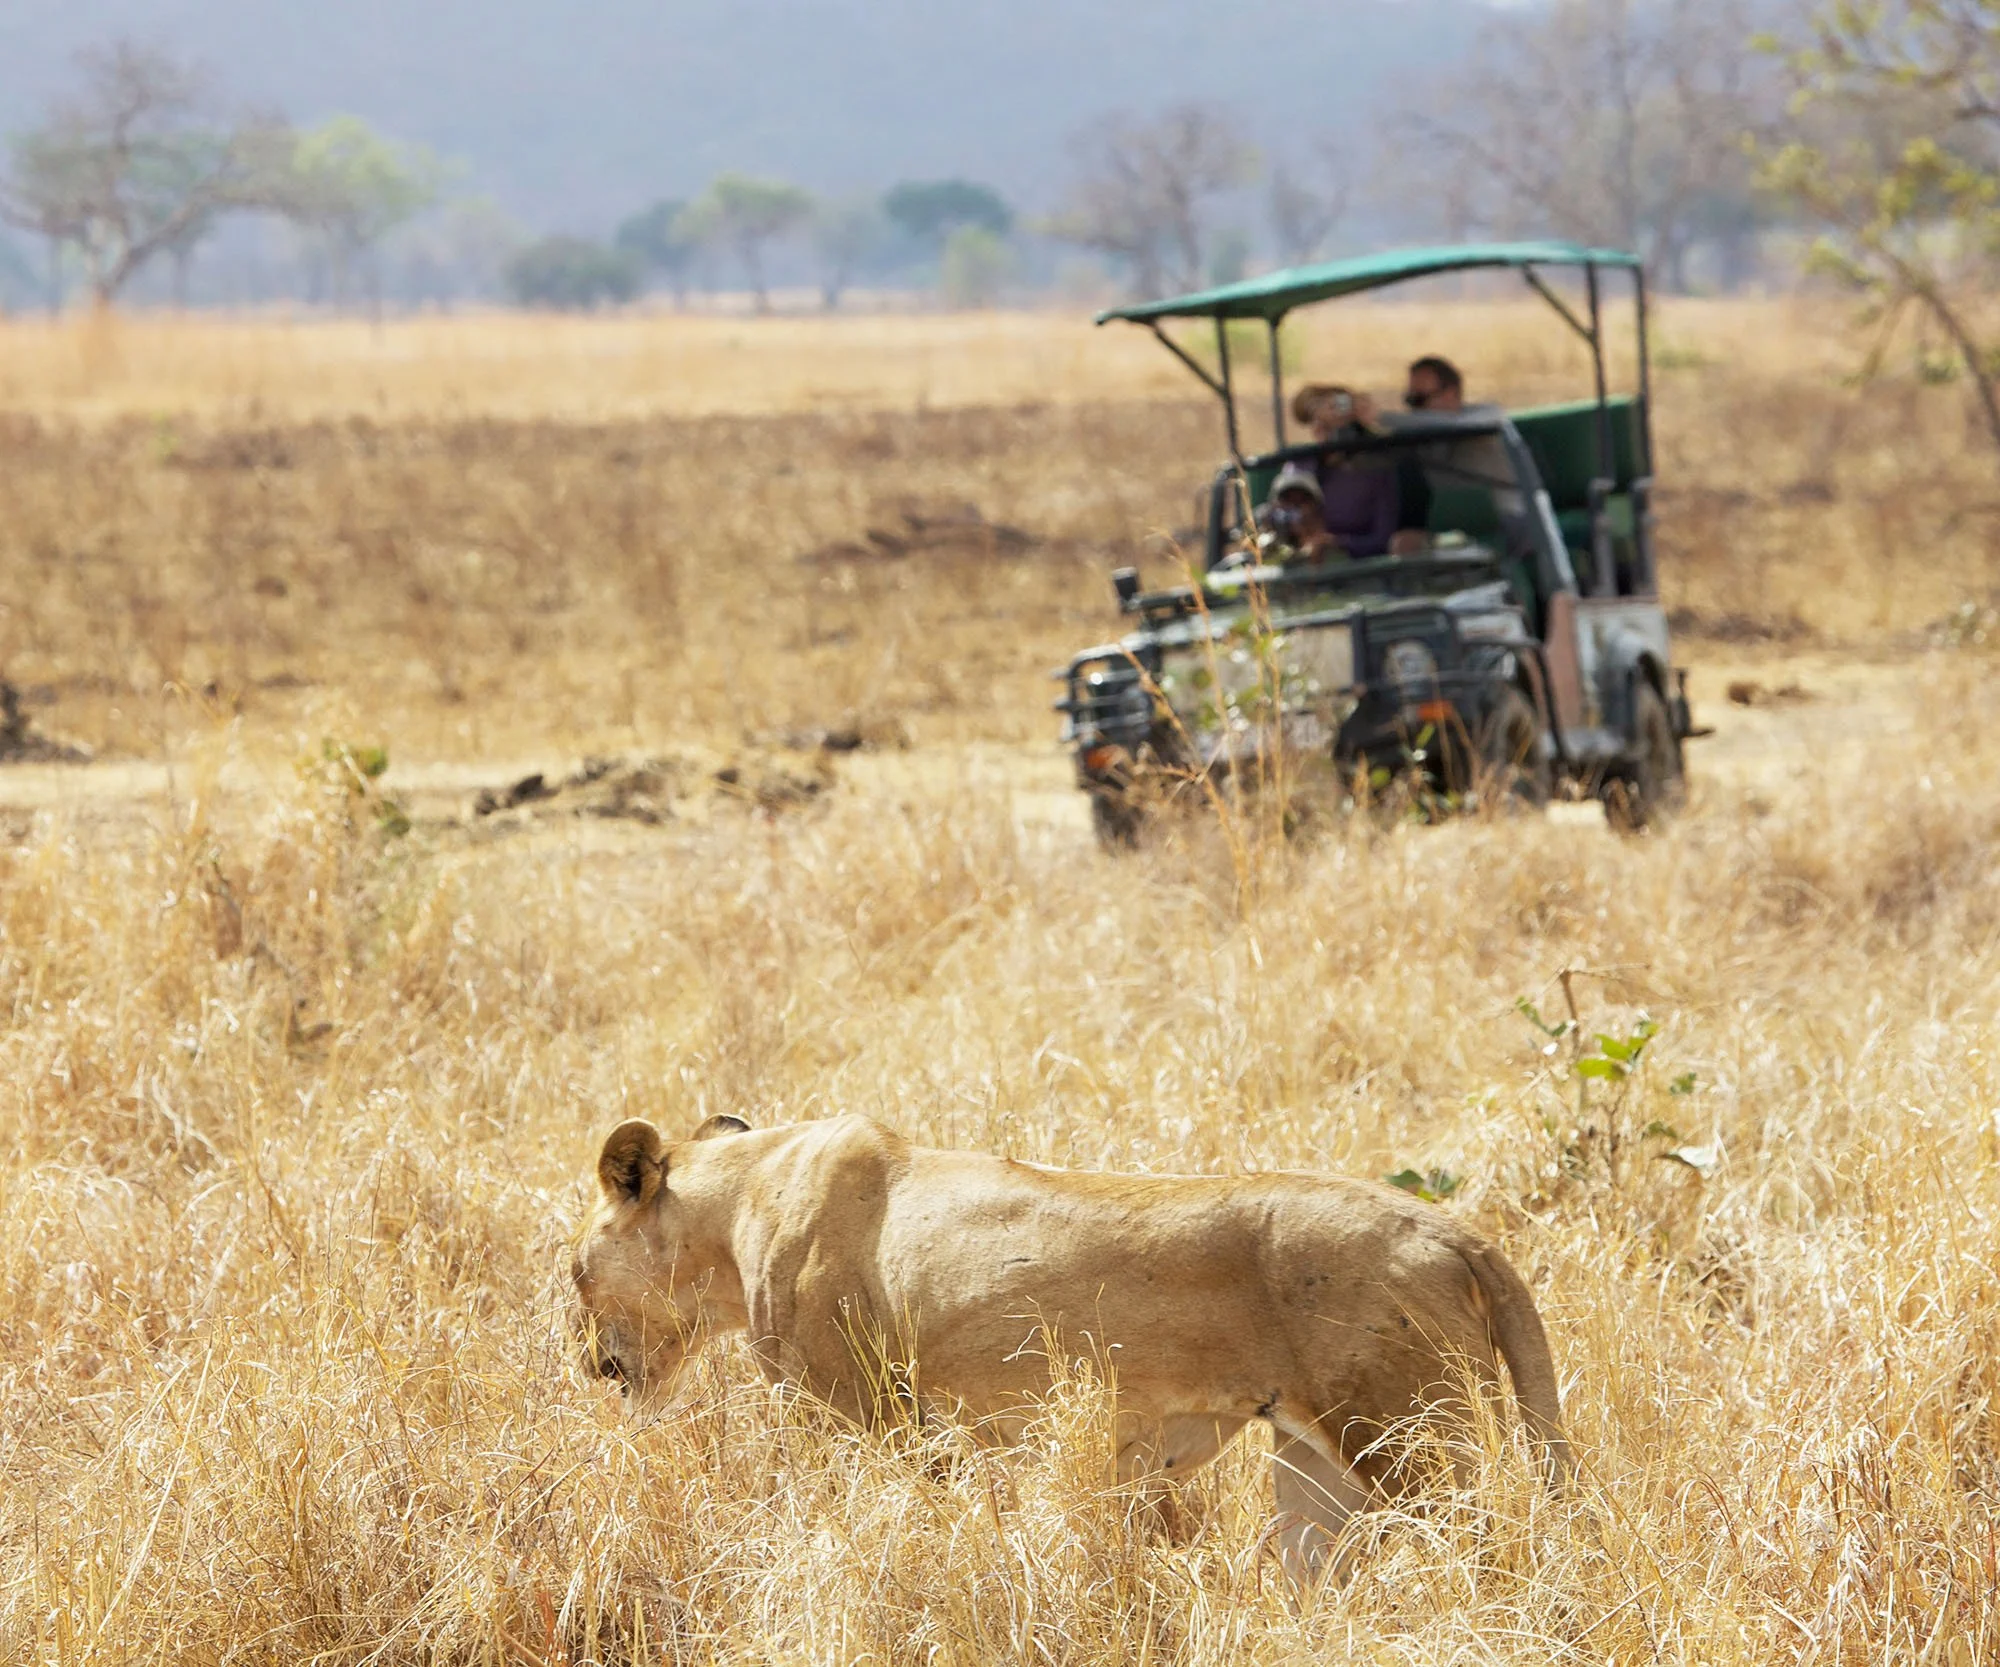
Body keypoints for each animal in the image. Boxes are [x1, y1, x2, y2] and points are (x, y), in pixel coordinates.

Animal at [572, 1112, 1569, 1581]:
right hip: (1317, 1467)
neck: (743, 1199)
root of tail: (1451, 1227)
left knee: (1489, 1547)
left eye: (576, 1272)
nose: (586, 1361)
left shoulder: (859, 1418)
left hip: (1410, 1441)